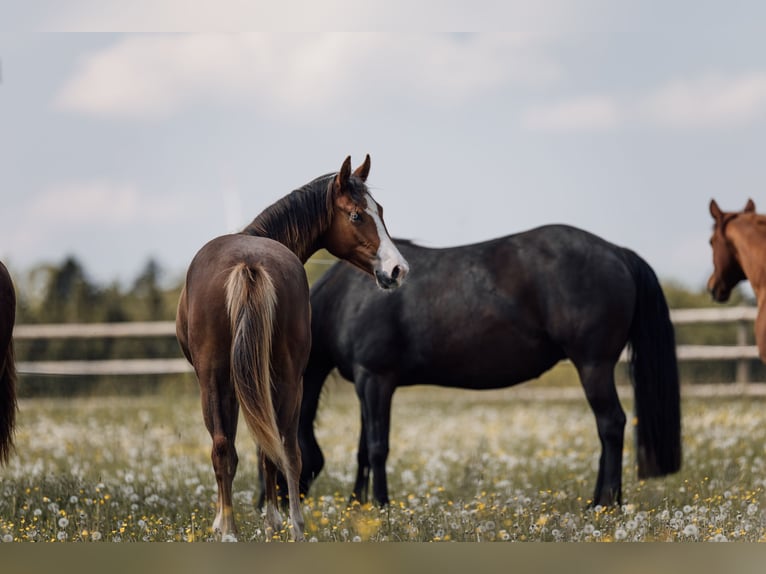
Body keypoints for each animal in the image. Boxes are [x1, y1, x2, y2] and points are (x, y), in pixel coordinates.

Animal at [176, 155, 409, 541]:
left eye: (381, 211)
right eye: (357, 215)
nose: (397, 269)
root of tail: (249, 263)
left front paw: (257, 520)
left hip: (244, 378)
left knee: (267, 448)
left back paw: (257, 529)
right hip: (261, 377)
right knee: (263, 448)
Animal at [296, 226, 681, 507]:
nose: (280, 506)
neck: (348, 297)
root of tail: (617, 252)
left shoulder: (376, 380)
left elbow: (377, 448)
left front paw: (380, 505)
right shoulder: (366, 384)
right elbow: (363, 448)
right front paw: (356, 505)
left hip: (593, 366)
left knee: (611, 425)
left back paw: (604, 503)